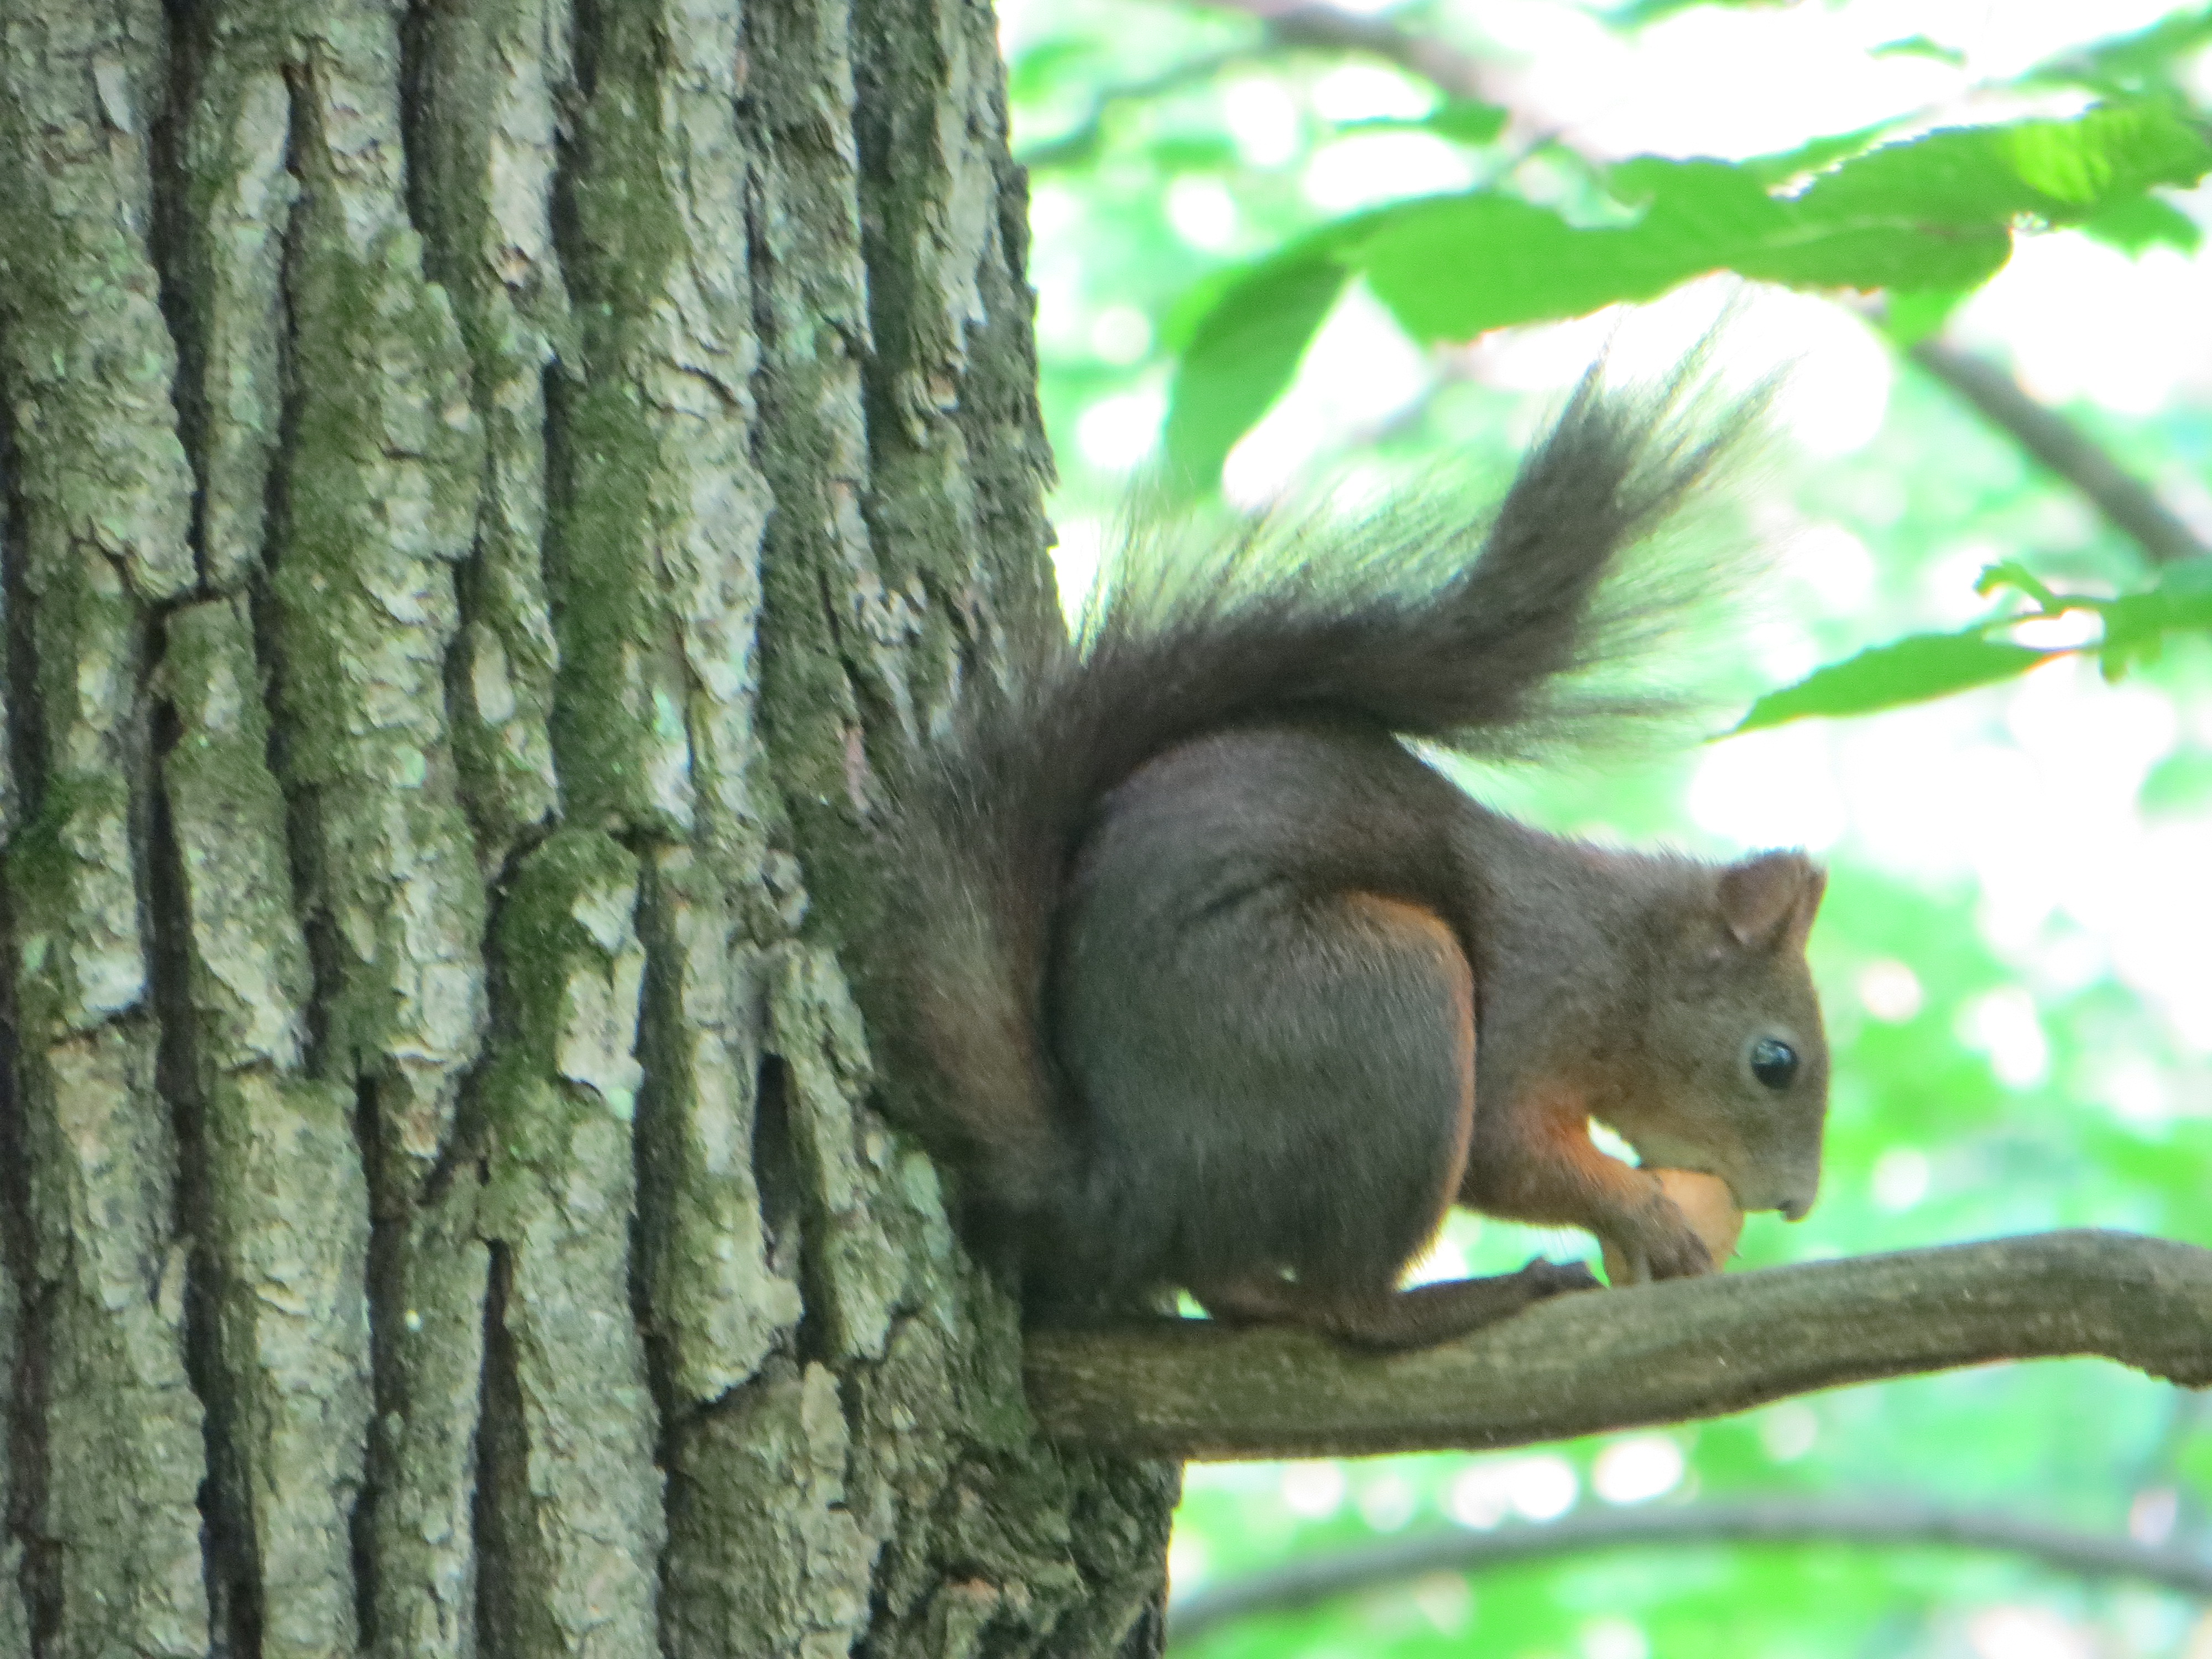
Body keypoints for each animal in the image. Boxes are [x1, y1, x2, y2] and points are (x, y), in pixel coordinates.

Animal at [872, 365, 1830, 1351]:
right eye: (1775, 1062)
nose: (1795, 1203)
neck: (1621, 957)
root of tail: (1131, 1191)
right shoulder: (1538, 995)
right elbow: (1503, 1149)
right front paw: (1643, 1214)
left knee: (1236, 1284)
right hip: (1383, 1003)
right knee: (1348, 1304)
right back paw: (1460, 1300)